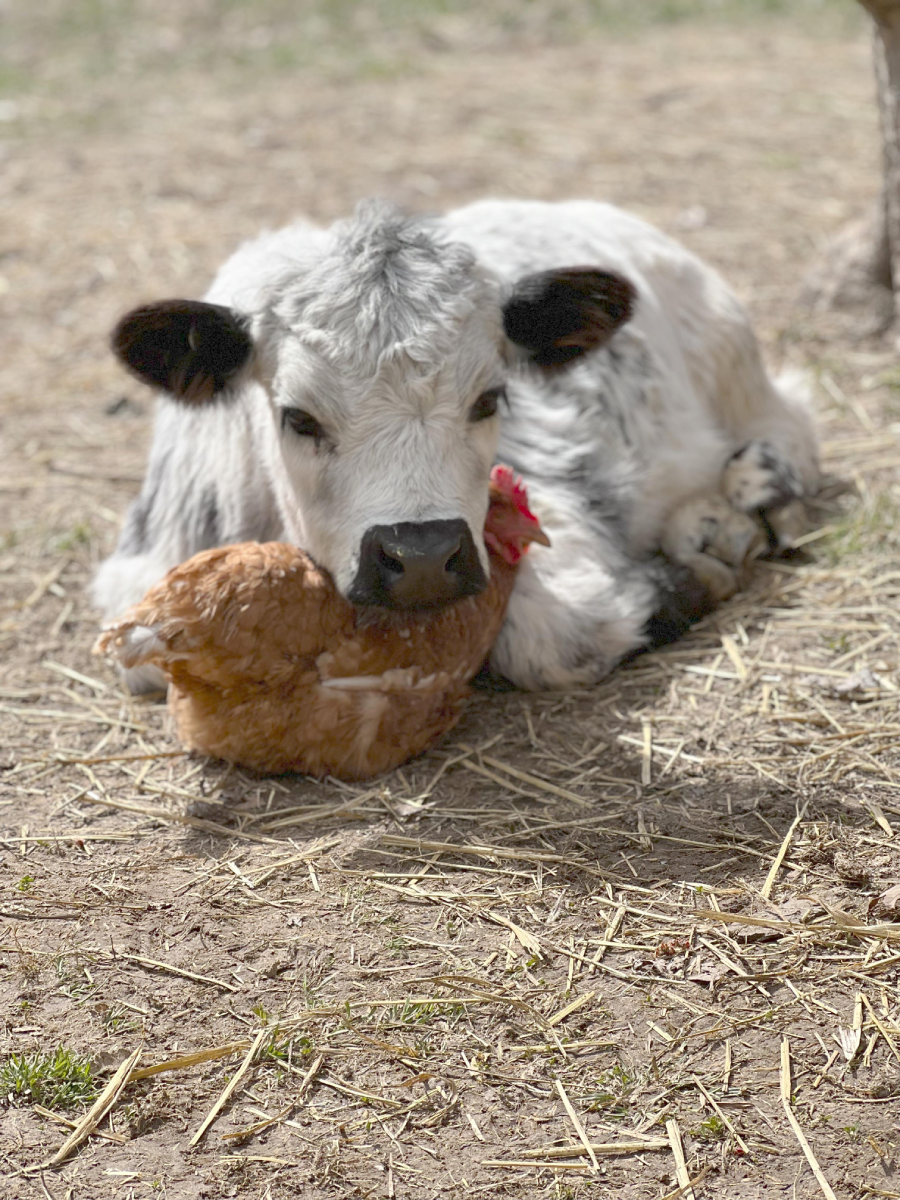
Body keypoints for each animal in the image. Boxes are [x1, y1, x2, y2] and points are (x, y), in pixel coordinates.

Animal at [92, 198, 818, 693]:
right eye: (297, 418)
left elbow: (551, 636)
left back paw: (758, 491)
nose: (421, 557)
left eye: (490, 399)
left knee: (794, 424)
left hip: (737, 364)